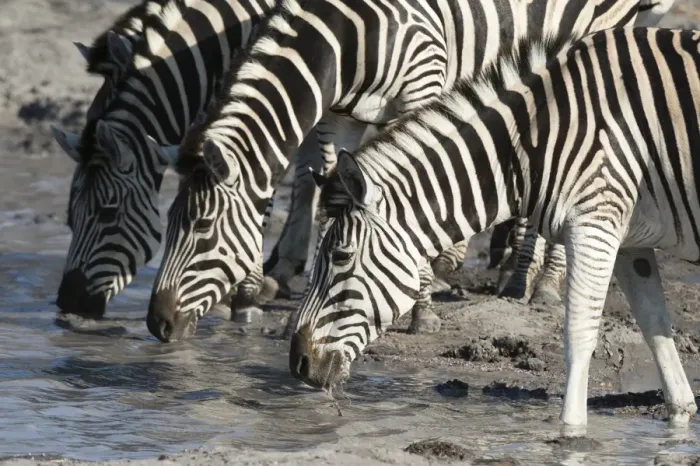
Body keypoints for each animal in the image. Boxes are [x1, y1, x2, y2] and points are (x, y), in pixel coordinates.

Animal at [147, 0, 654, 342]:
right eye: (167, 226)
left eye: (202, 227)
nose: (157, 323)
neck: (346, 37)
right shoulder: (340, 113)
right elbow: (327, 190)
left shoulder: (421, 86)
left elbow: (414, 194)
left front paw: (421, 309)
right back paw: (518, 278)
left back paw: (545, 281)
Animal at [289, 26, 700, 430]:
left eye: (341, 257)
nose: (298, 364)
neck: (535, 139)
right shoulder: (630, 241)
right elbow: (655, 326)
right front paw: (679, 418)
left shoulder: (595, 220)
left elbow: (579, 333)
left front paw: (571, 431)